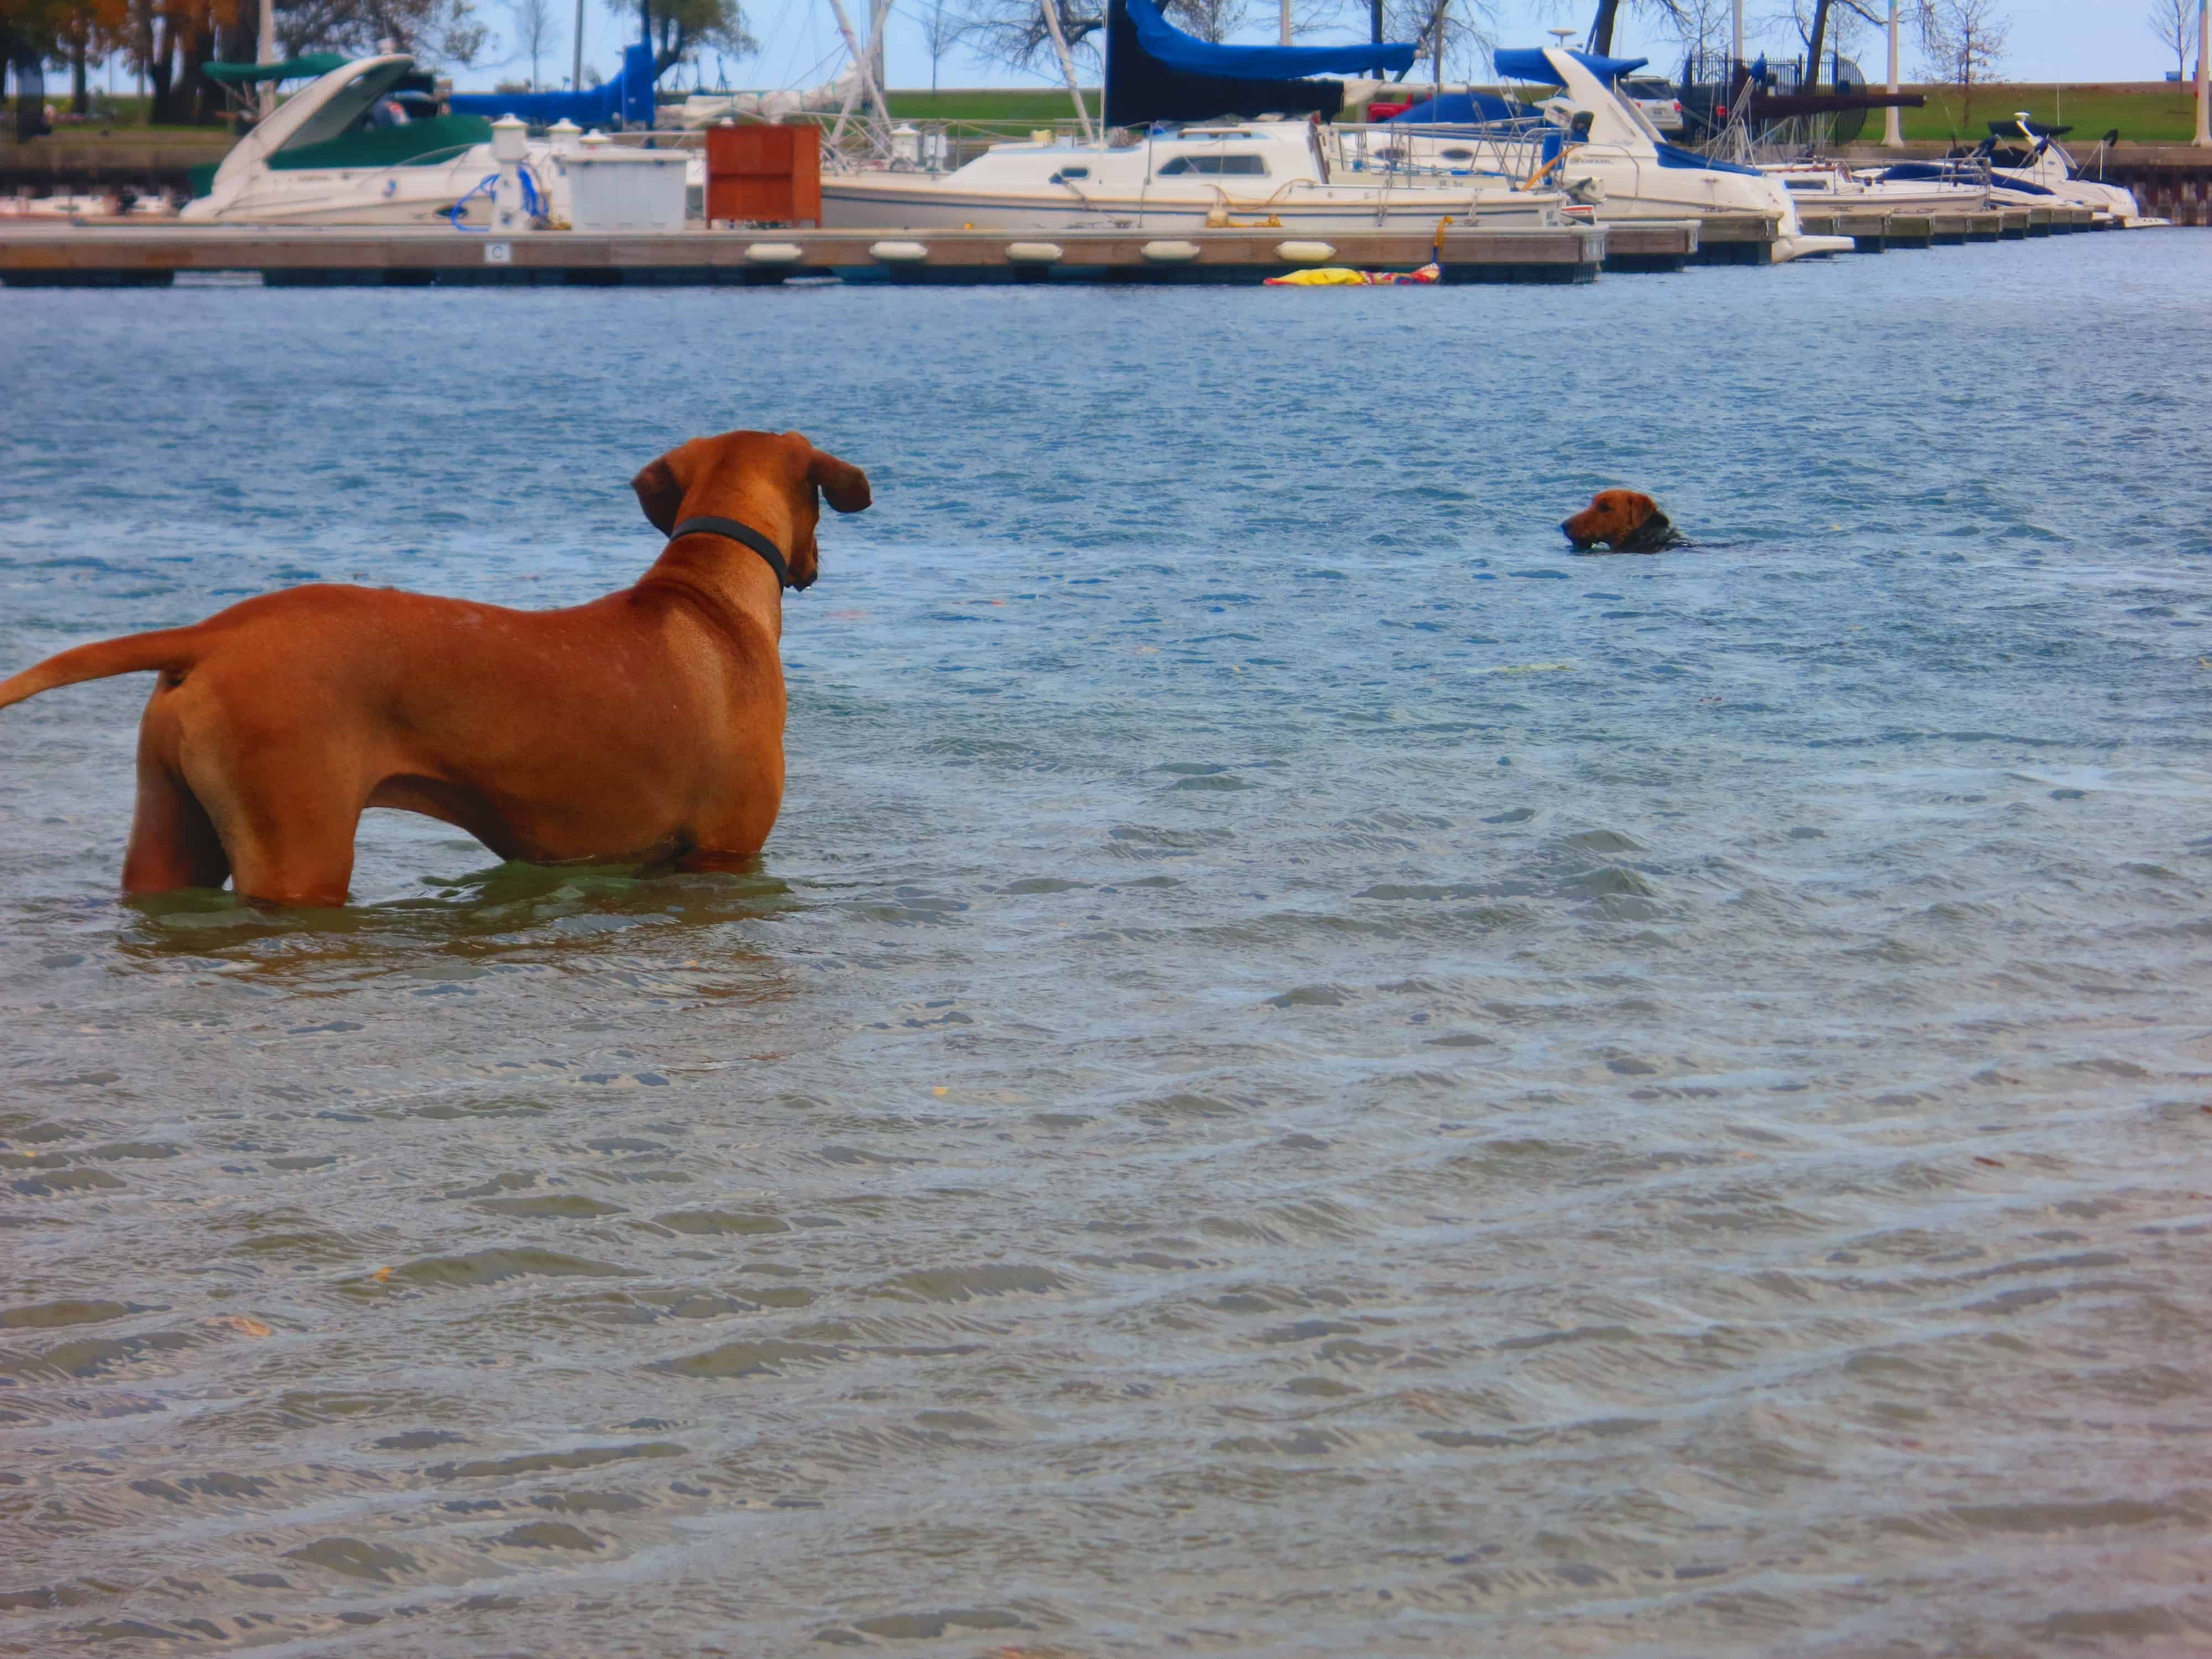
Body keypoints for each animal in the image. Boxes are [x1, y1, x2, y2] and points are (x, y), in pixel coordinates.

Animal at [0, 429, 876, 911]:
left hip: (169, 836)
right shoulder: (725, 852)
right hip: (299, 851)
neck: (709, 590)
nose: (816, 563)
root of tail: (211, 634)